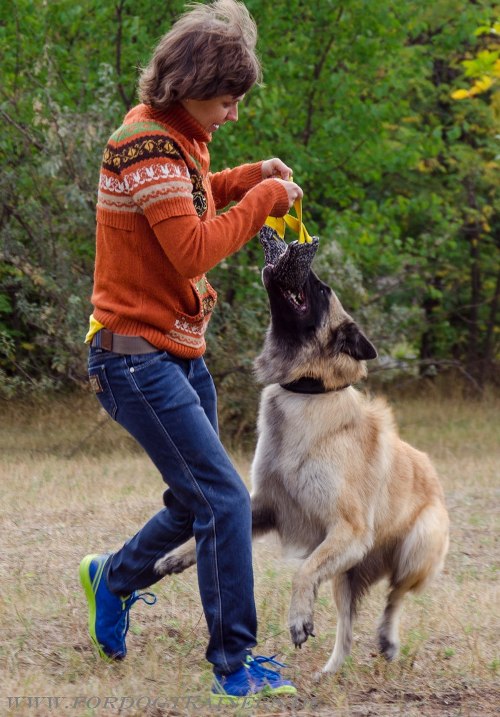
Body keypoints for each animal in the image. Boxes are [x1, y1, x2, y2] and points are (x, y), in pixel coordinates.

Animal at [156, 227, 450, 676]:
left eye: (323, 290)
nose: (299, 250)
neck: (309, 392)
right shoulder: (268, 506)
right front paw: (177, 555)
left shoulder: (346, 530)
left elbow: (302, 573)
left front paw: (297, 619)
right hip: (347, 573)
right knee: (349, 627)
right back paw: (330, 671)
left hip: (413, 548)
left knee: (395, 596)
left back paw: (387, 638)